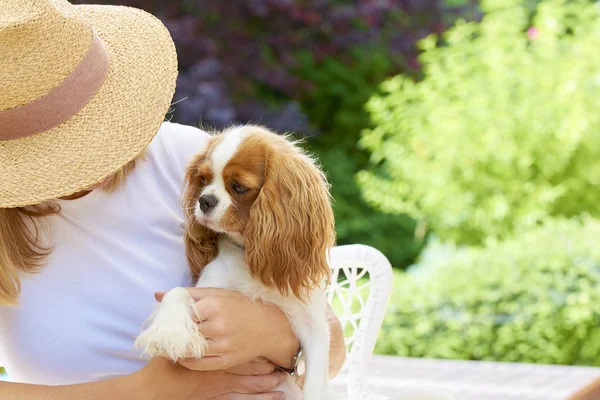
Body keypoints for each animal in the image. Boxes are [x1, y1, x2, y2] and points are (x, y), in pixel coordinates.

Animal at [135, 126, 338, 400]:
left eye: (239, 187)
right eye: (203, 179)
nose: (204, 200)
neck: (247, 251)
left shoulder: (313, 323)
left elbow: (316, 382)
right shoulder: (210, 289)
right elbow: (178, 292)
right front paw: (171, 331)